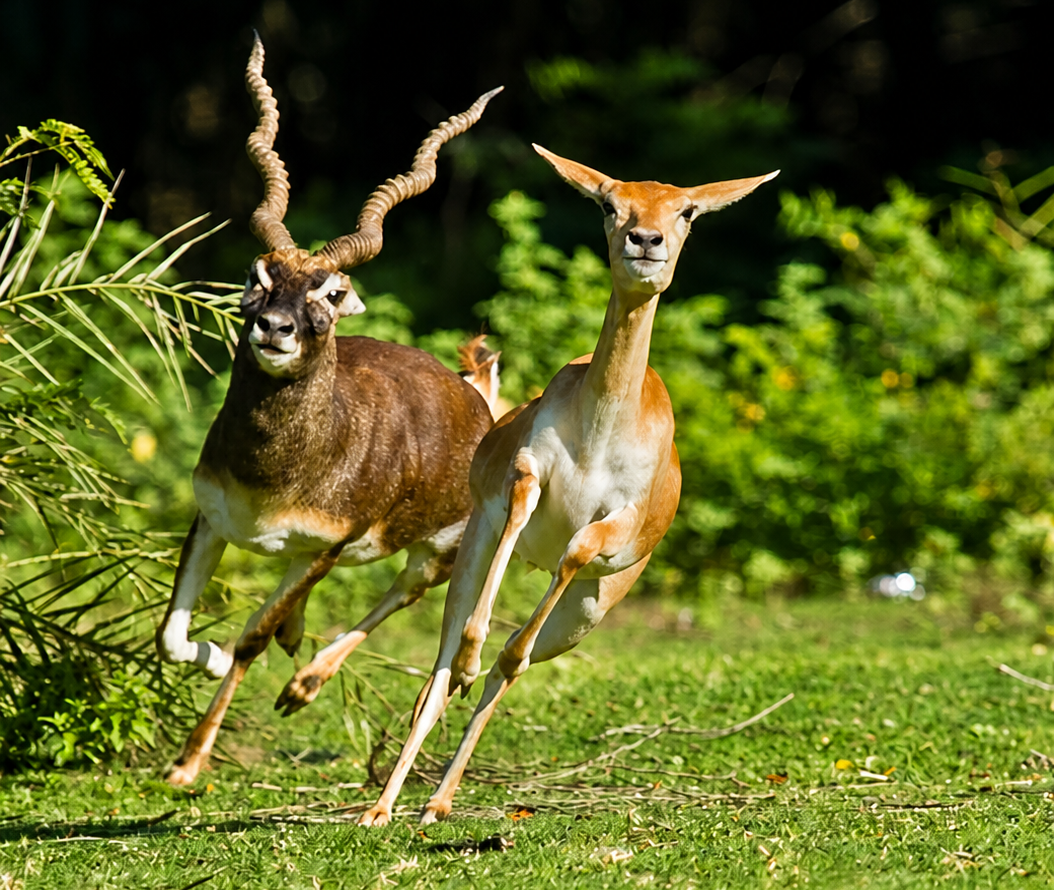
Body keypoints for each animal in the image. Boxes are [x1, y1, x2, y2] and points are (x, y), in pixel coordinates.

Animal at [155, 34, 502, 786]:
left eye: (332, 292)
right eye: (259, 275)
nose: (275, 328)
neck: (277, 474)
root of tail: (475, 394)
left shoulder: (328, 545)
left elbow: (250, 636)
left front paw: (190, 762)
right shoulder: (211, 516)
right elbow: (171, 633)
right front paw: (210, 661)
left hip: (439, 551)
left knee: (405, 590)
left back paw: (305, 682)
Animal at [357, 146, 777, 826]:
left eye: (686, 209)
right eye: (610, 203)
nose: (645, 240)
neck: (601, 427)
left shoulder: (616, 522)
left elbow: (565, 570)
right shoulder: (523, 477)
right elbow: (486, 607)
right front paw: (471, 658)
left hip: (587, 611)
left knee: (515, 661)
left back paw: (437, 803)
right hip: (472, 550)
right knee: (439, 672)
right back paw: (386, 806)